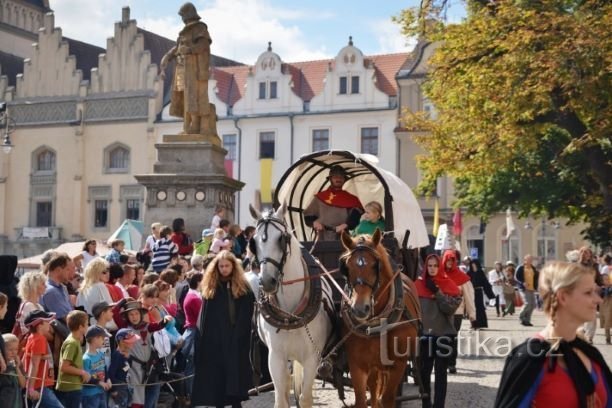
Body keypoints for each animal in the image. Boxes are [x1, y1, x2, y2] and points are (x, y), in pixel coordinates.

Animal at [250, 204, 334, 408]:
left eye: (281, 239)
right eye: (253, 242)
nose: (267, 281)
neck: (290, 314)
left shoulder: (312, 357)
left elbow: (305, 398)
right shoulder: (275, 357)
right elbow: (281, 399)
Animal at [340, 230, 420, 408]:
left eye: (375, 266)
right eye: (346, 267)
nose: (359, 308)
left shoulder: (398, 364)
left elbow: (388, 398)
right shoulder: (357, 364)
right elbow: (362, 400)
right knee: (374, 389)